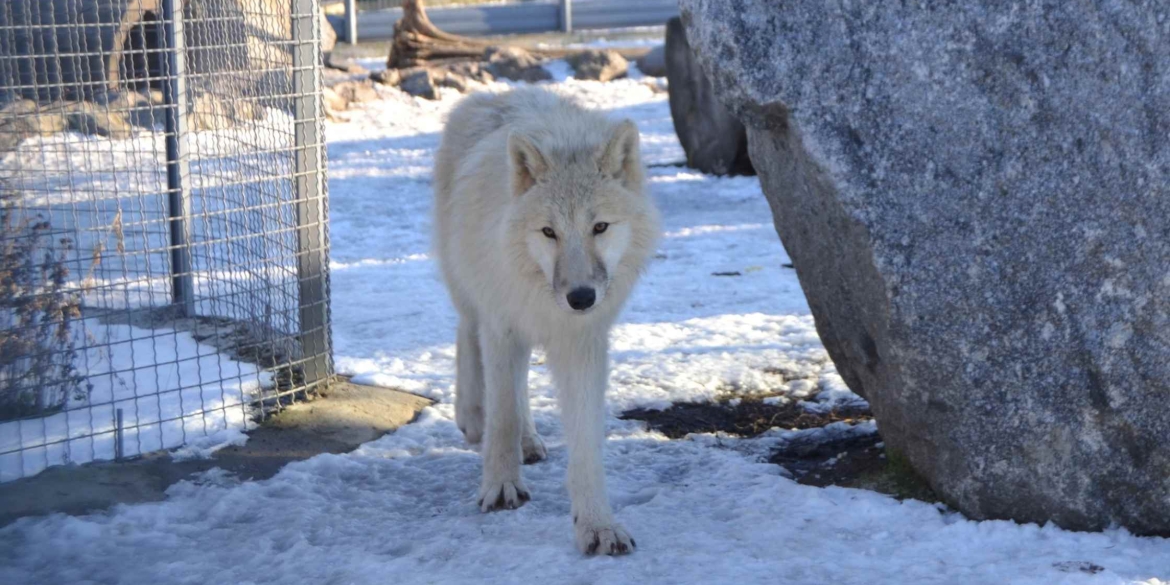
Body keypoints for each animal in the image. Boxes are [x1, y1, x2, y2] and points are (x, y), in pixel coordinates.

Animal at [437, 88, 664, 554]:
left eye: (600, 227)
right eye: (548, 232)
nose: (580, 297)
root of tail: (495, 94)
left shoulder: (582, 342)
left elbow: (585, 444)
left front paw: (597, 525)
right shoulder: (501, 325)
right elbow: (502, 416)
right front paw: (501, 487)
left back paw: (529, 441)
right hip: (470, 289)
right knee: (466, 332)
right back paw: (472, 416)